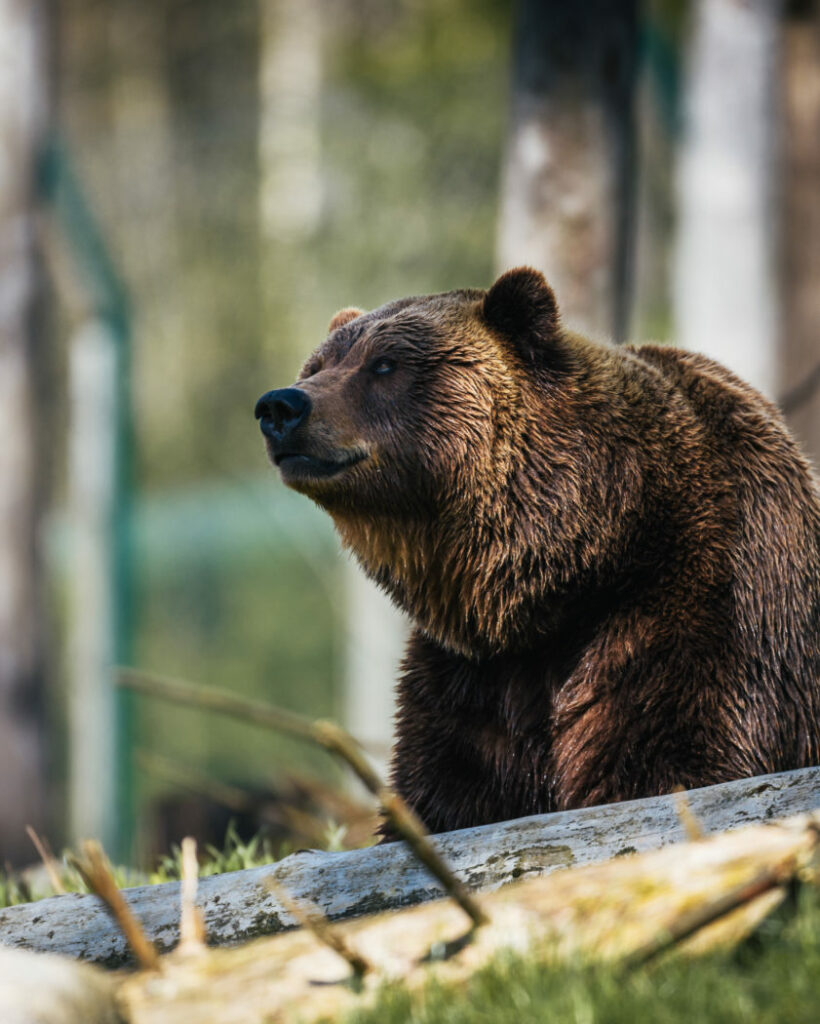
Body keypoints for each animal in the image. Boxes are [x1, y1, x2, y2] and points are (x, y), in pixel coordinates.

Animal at [255, 266, 820, 837]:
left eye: (385, 363)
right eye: (317, 365)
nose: (282, 405)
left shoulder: (701, 610)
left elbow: (671, 760)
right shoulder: (473, 679)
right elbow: (443, 790)